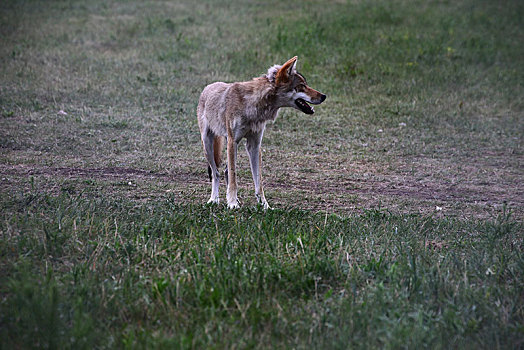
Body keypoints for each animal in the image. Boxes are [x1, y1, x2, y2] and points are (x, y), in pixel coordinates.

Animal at [198, 54, 326, 208]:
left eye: (306, 85)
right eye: (302, 86)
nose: (324, 96)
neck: (253, 105)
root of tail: (208, 87)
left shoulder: (254, 145)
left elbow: (259, 181)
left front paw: (265, 206)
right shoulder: (233, 141)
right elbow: (234, 178)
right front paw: (233, 204)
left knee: (226, 171)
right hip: (208, 145)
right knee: (216, 173)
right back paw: (214, 199)